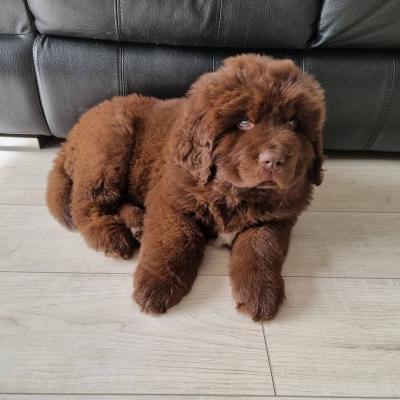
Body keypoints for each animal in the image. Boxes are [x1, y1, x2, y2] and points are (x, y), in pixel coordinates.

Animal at [47, 54, 324, 322]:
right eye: (244, 123)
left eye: (293, 124)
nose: (274, 160)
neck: (233, 191)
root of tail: (73, 132)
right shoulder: (171, 199)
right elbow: (175, 239)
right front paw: (156, 286)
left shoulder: (276, 219)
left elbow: (262, 246)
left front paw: (260, 293)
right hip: (109, 147)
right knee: (87, 203)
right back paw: (110, 236)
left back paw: (137, 223)